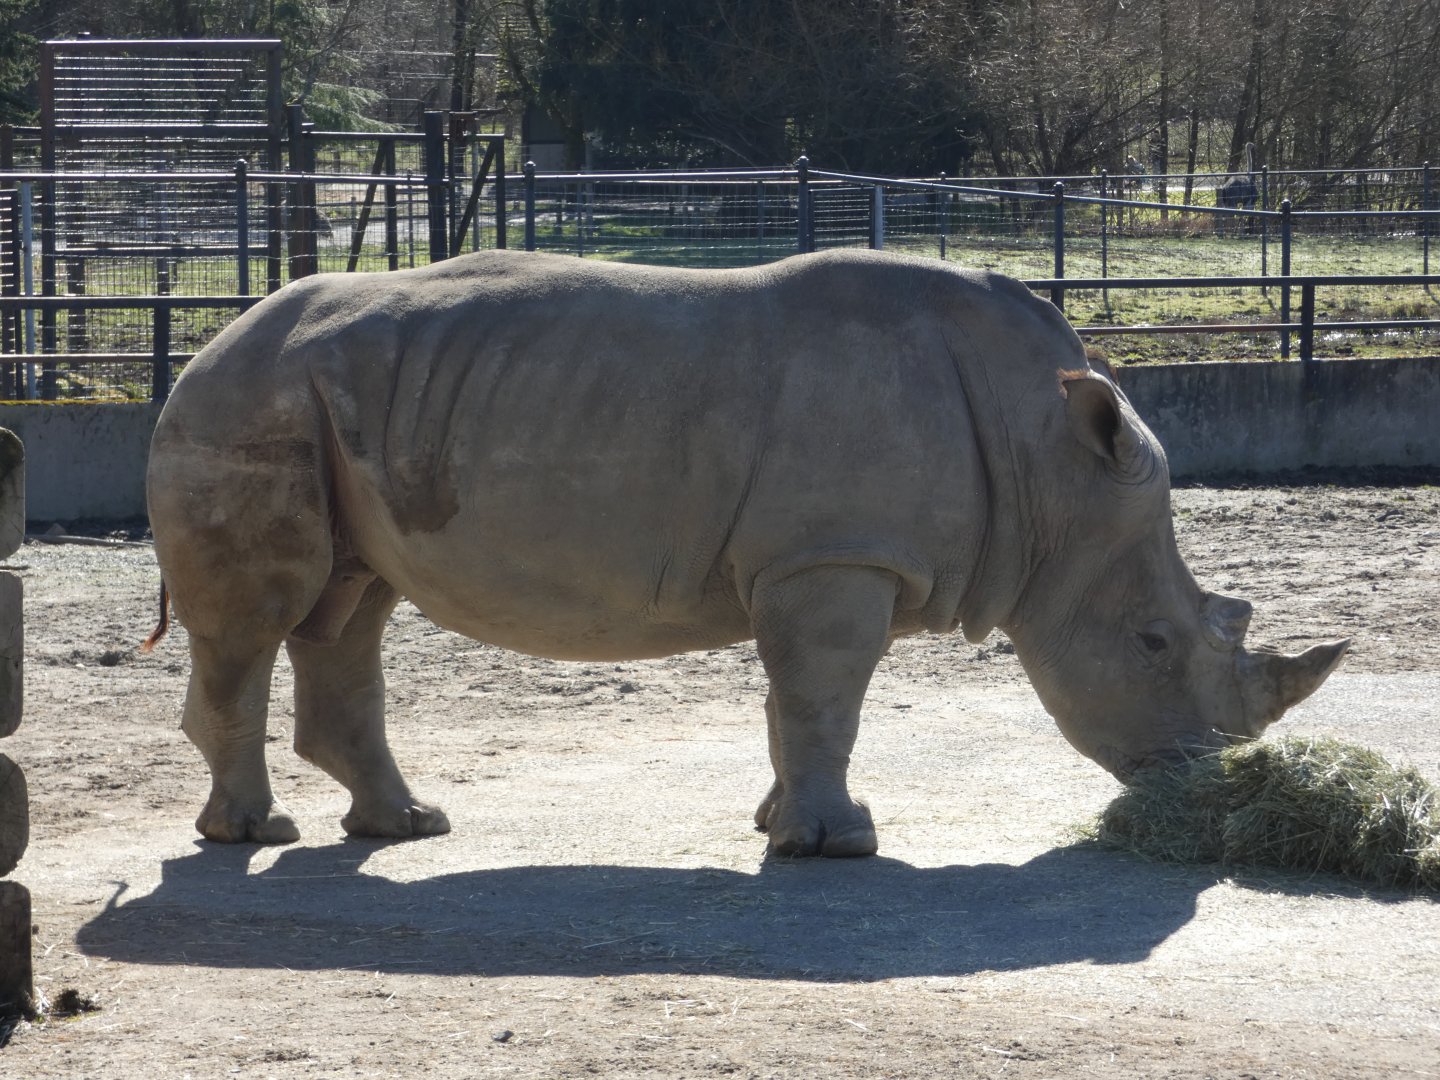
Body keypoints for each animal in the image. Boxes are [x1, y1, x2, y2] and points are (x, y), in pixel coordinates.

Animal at [145, 249, 1348, 856]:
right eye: (1151, 644)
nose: (1200, 782)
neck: (1050, 465)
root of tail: (203, 343)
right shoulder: (837, 557)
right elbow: (827, 697)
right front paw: (837, 846)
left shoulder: (811, 559)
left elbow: (796, 700)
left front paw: (783, 825)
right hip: (246, 396)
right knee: (261, 621)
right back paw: (249, 832)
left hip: (332, 404)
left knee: (351, 606)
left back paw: (404, 827)